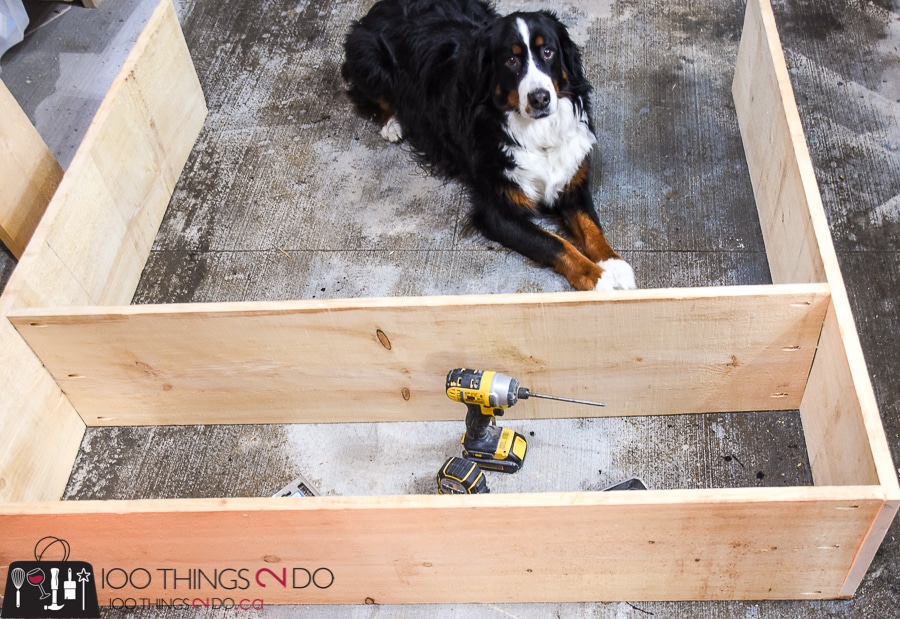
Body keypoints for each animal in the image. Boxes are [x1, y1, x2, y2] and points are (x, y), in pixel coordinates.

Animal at [342, 0, 636, 292]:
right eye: (511, 60)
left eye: (548, 52)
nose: (540, 98)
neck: (535, 133)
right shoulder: (497, 212)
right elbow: (554, 242)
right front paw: (598, 278)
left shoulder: (571, 181)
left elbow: (591, 225)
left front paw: (615, 265)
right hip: (368, 59)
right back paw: (392, 124)